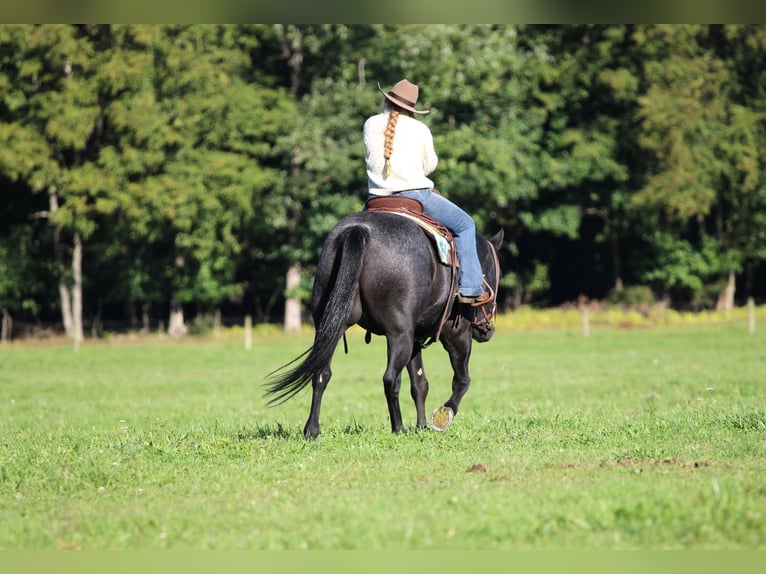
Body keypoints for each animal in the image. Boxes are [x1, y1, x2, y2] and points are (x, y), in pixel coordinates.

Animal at [264, 208, 504, 439]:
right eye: (495, 274)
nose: (487, 330)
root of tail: (359, 230)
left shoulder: (415, 339)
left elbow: (420, 384)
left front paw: (422, 426)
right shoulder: (457, 334)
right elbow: (461, 380)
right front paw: (443, 416)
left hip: (332, 327)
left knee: (321, 373)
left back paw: (312, 430)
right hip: (399, 335)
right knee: (390, 378)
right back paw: (398, 428)